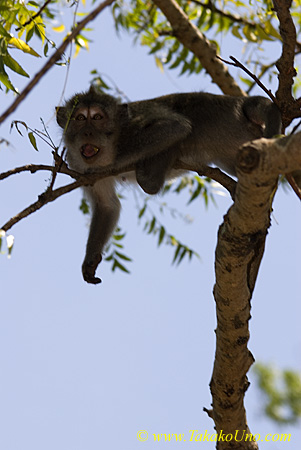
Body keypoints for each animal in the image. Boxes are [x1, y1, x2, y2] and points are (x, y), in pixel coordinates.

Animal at [55, 87, 282, 284]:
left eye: (97, 118)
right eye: (80, 119)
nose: (88, 133)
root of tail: (238, 102)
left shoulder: (134, 127)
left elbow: (175, 126)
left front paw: (119, 162)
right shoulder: (79, 166)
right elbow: (107, 206)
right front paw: (90, 260)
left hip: (228, 130)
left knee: (160, 161)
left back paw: (160, 164)